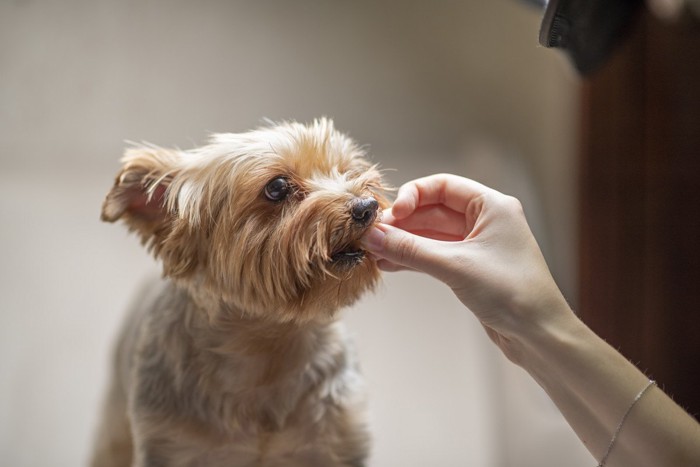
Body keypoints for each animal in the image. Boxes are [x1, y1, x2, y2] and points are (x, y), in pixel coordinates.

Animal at [91, 119, 388, 466]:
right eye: (277, 187)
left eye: (347, 170)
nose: (366, 206)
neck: (269, 346)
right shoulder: (171, 447)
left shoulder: (338, 442)